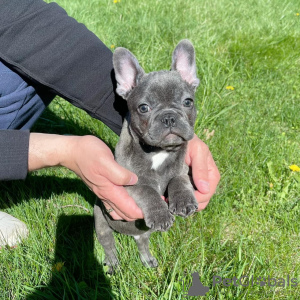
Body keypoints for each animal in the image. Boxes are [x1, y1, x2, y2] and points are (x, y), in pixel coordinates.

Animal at [94, 39, 199, 274]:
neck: (158, 152)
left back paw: (148, 260)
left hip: (143, 232)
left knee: (142, 242)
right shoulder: (125, 185)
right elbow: (147, 190)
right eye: (144, 108)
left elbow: (179, 180)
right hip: (101, 222)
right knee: (108, 244)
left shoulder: (182, 170)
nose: (169, 117)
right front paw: (160, 213)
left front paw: (184, 201)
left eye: (188, 102)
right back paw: (112, 264)